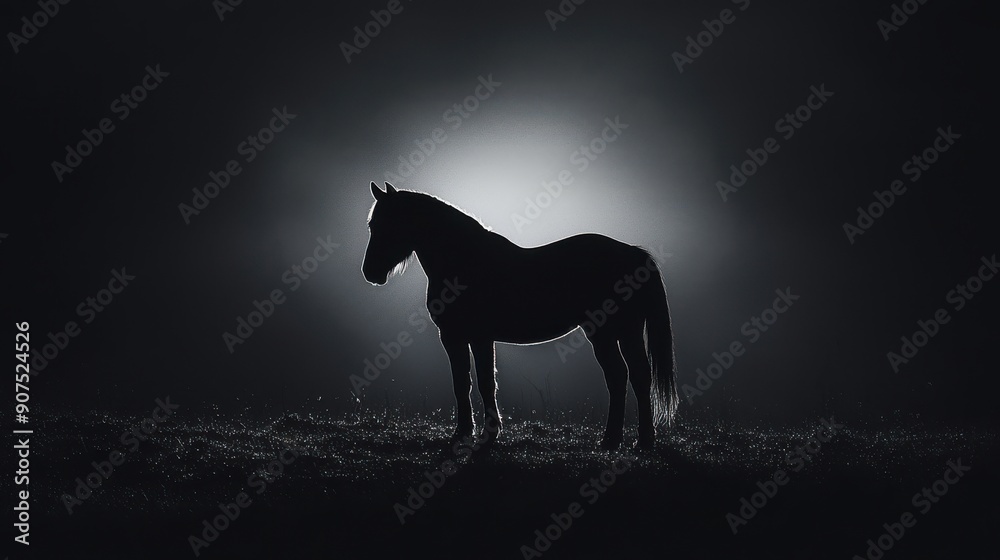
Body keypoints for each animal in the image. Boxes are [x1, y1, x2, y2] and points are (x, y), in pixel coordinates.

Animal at [361, 182, 678, 449]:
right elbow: (462, 382)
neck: (464, 262)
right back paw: (630, 440)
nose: (370, 272)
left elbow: (485, 382)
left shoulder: (477, 337)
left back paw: (623, 440)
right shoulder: (454, 337)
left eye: (389, 224)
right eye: (372, 225)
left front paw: (487, 434)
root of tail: (634, 254)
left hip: (608, 332)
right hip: (620, 333)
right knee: (631, 376)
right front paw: (463, 433)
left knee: (624, 375)